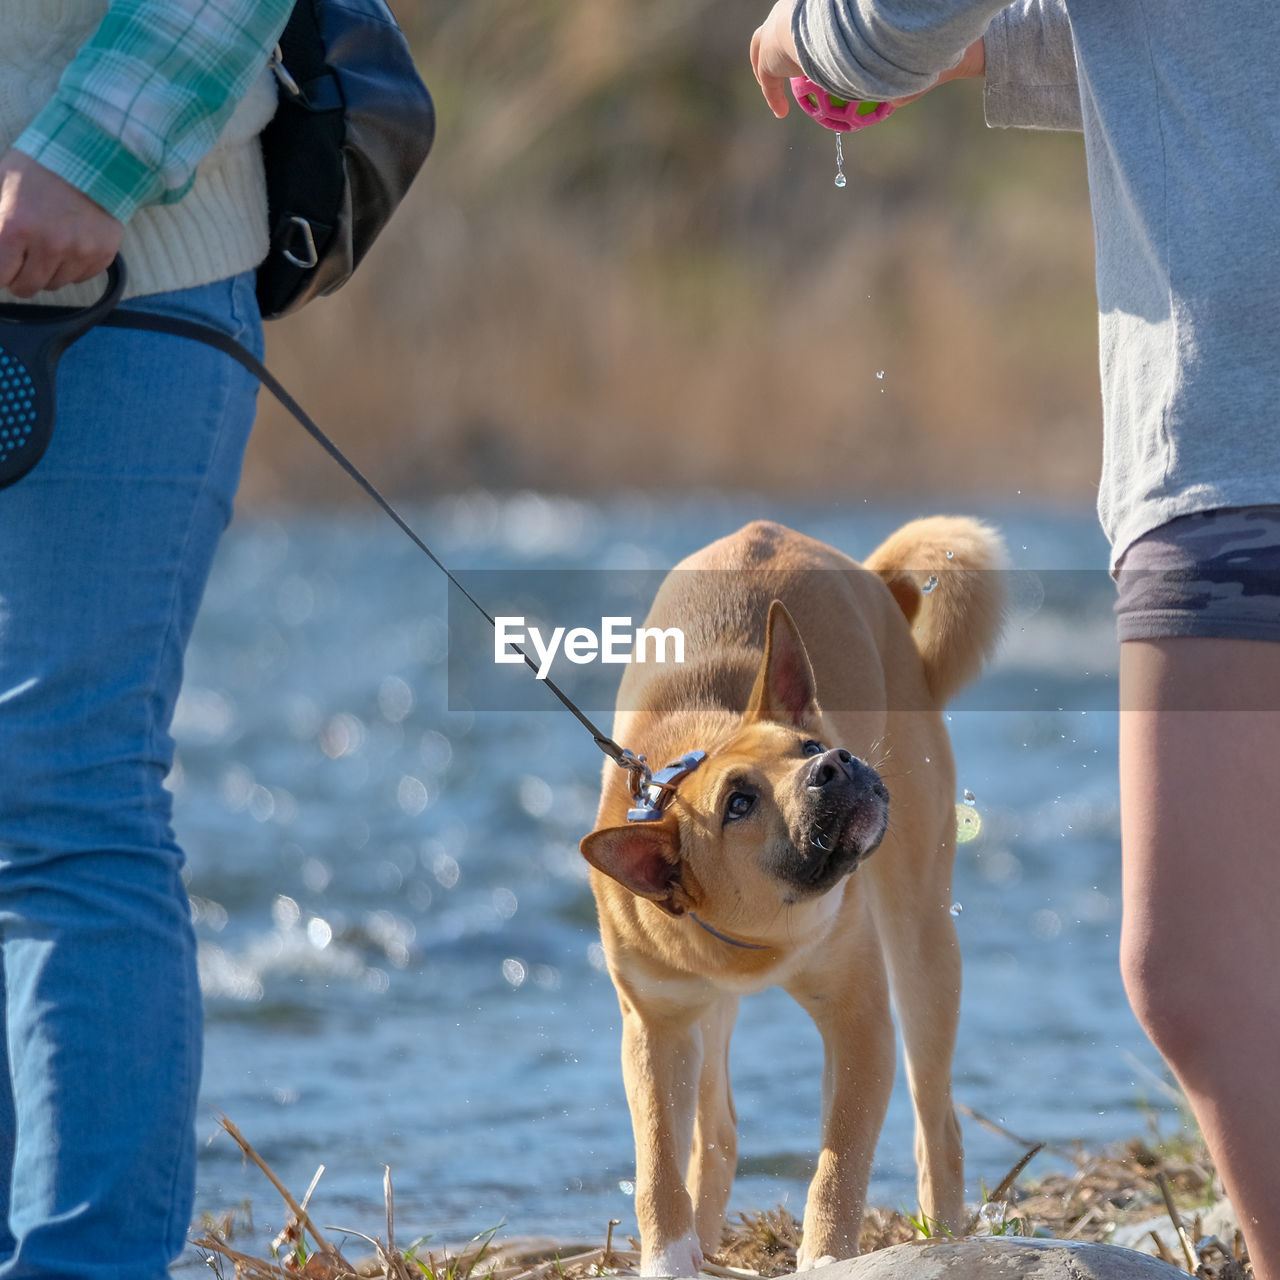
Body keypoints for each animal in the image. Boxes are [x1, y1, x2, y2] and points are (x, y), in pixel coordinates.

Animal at [581, 517, 1008, 1269]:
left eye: (807, 744)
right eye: (738, 804)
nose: (834, 762)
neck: (754, 937)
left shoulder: (858, 1019)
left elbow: (840, 1161)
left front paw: (826, 1256)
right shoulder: (656, 1029)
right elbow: (659, 1161)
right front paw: (669, 1259)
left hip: (923, 945)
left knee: (937, 1121)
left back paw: (944, 1232)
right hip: (706, 1019)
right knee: (717, 1137)